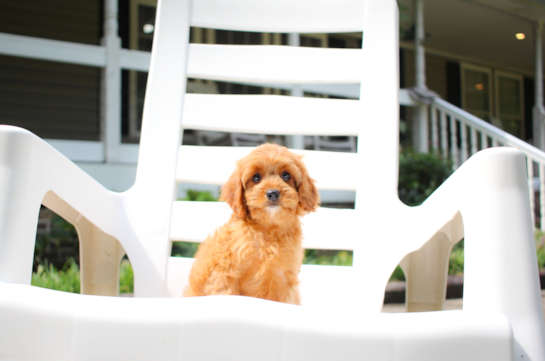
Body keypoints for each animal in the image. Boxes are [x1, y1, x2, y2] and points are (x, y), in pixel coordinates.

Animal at [183, 143, 318, 304]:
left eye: (286, 175)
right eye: (256, 177)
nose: (273, 193)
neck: (268, 230)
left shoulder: (284, 279)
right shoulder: (224, 275)